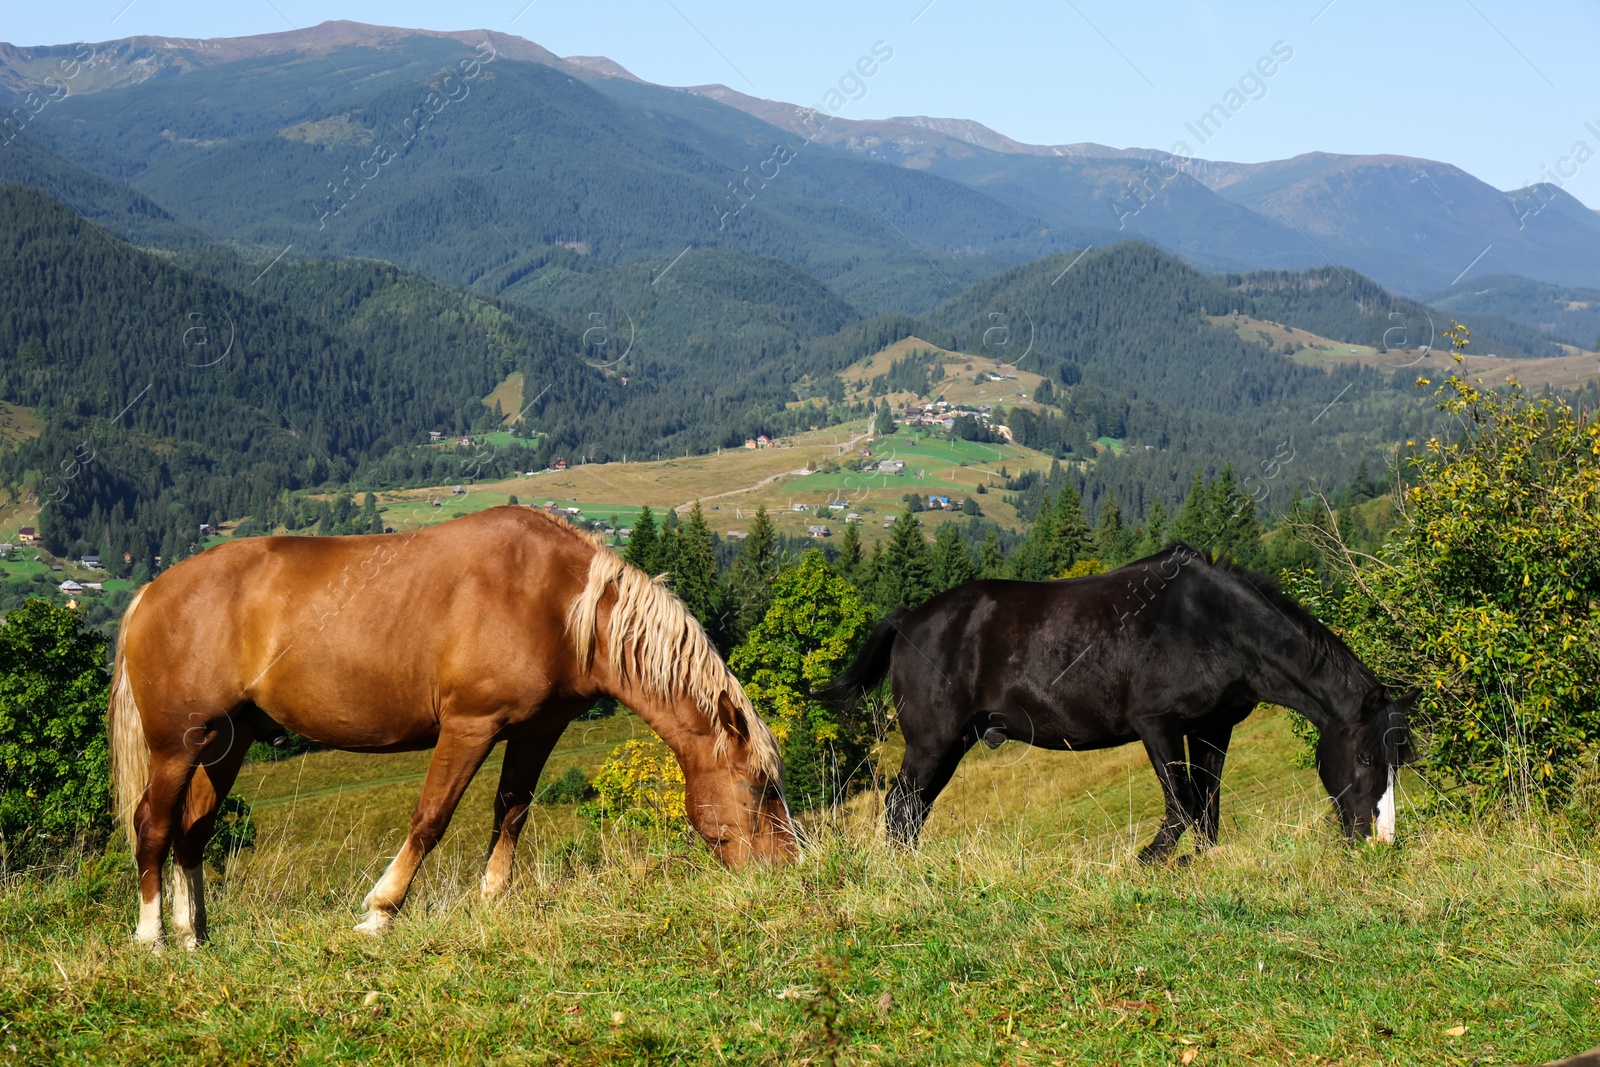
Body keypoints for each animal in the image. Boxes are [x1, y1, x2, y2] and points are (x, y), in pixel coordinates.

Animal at [106, 508, 793, 953]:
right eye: (761, 788)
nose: (788, 868)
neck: (558, 602)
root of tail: (149, 593)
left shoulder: (537, 731)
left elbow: (511, 811)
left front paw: (491, 903)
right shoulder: (469, 727)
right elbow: (431, 817)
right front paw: (380, 912)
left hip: (228, 742)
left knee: (193, 833)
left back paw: (196, 936)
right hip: (177, 746)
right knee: (154, 826)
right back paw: (153, 937)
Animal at [819, 547, 1420, 863]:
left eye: (1399, 760)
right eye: (1367, 758)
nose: (1381, 838)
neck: (1215, 626)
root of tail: (908, 619)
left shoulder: (1212, 729)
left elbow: (1208, 803)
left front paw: (1198, 859)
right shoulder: (1158, 725)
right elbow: (1182, 801)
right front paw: (1153, 857)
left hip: (949, 743)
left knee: (911, 811)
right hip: (932, 741)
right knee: (900, 808)